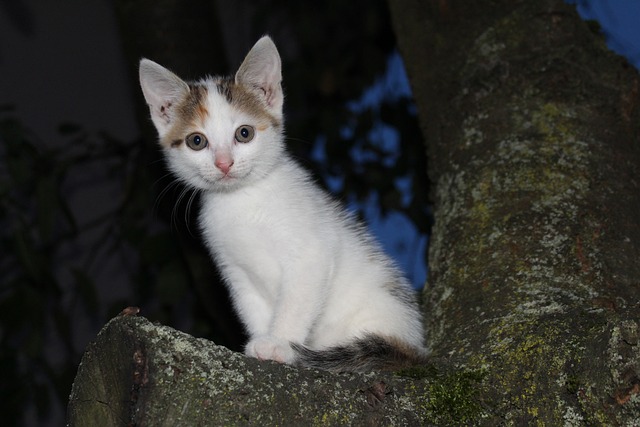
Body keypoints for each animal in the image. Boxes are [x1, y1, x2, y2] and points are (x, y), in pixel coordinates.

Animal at [138, 36, 428, 372]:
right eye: (196, 141)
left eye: (244, 133)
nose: (224, 163)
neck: (243, 199)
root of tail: (414, 346)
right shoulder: (234, 270)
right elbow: (252, 307)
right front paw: (260, 341)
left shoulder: (311, 255)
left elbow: (295, 303)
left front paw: (279, 343)